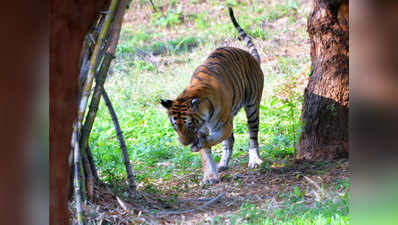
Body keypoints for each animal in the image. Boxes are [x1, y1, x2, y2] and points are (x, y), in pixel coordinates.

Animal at [159, 7, 264, 184]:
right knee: (230, 140)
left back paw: (254, 160)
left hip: (252, 106)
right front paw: (209, 176)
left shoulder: (223, 123)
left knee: (252, 136)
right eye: (175, 126)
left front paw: (199, 145)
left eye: (189, 125)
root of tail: (251, 57)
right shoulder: (204, 128)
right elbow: (206, 153)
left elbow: (214, 139)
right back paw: (223, 164)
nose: (185, 144)